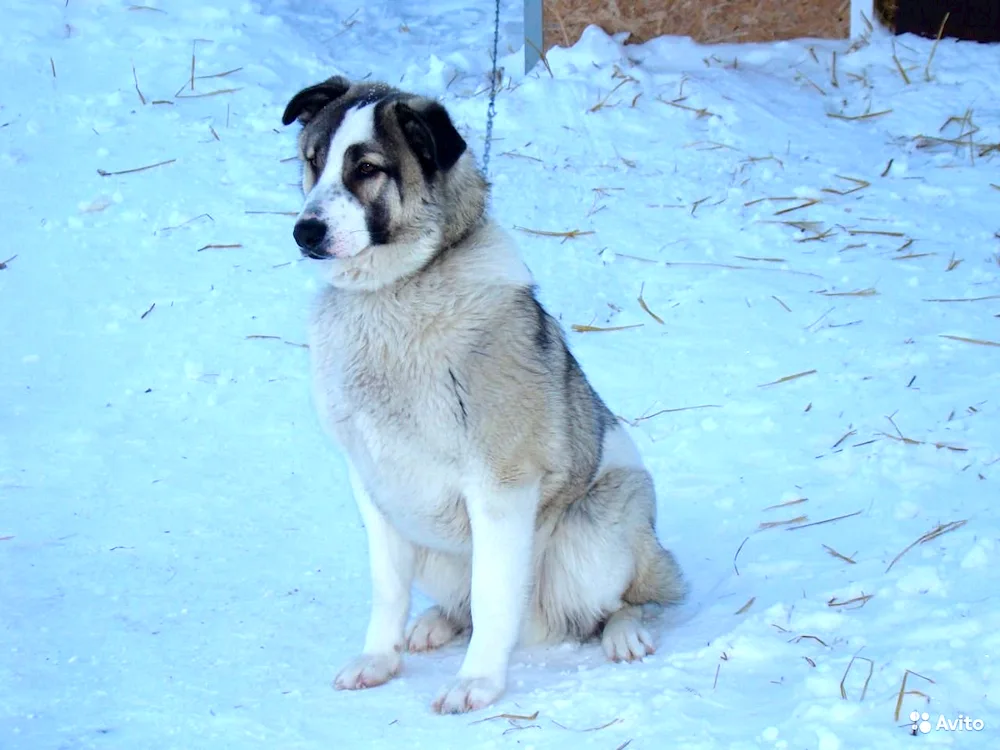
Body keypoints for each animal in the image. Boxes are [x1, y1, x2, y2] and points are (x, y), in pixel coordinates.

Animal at [282, 76, 688, 716]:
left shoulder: (501, 488)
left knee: (623, 601)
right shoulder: (373, 486)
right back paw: (435, 624)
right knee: (461, 605)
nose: (305, 231)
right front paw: (379, 659)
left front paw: (477, 682)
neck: (396, 294)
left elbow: (495, 598)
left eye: (367, 168)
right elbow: (388, 589)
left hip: (600, 525)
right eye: (313, 162)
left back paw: (625, 633)